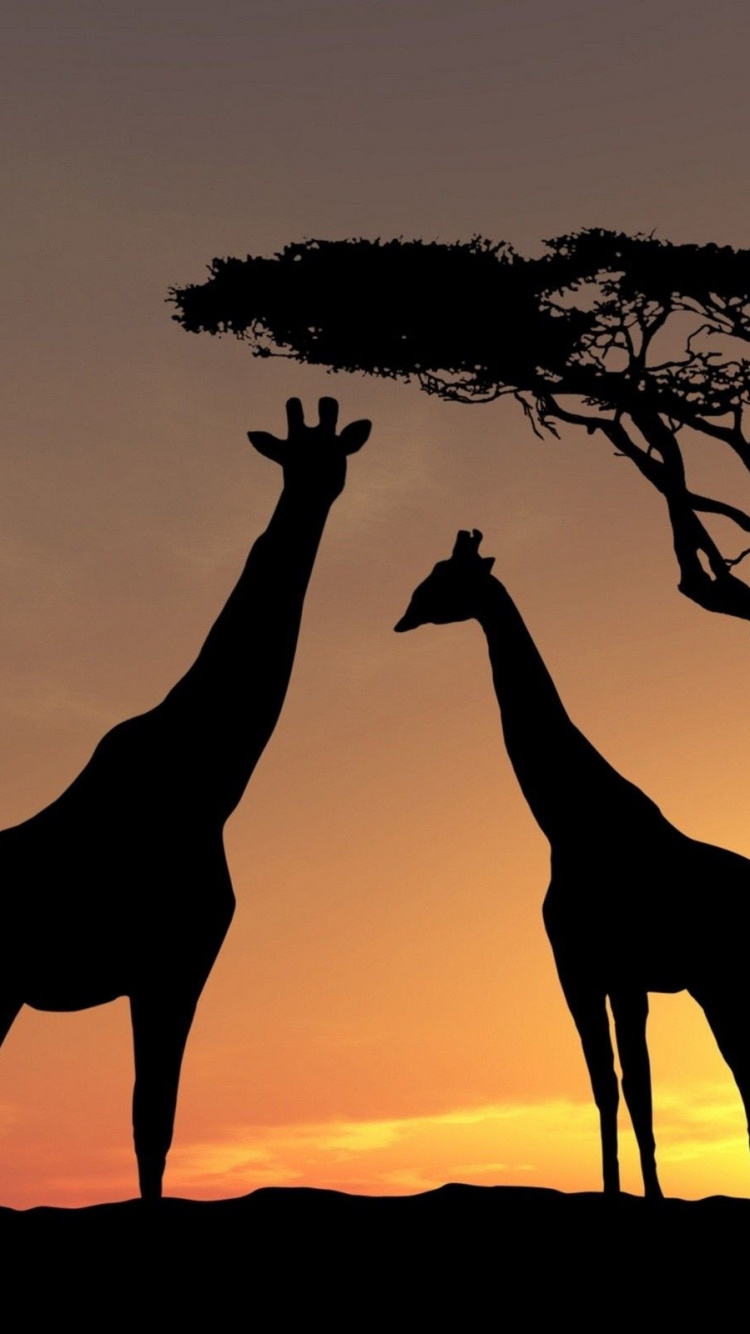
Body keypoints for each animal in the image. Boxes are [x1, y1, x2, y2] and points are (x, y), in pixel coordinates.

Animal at [0, 396, 371, 1201]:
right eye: (291, 459)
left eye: (337, 455)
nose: (319, 490)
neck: (206, 784)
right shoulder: (168, 964)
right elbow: (152, 1121)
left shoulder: (180, 964)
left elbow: (157, 1123)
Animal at [395, 527, 750, 1199]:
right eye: (428, 575)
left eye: (445, 578)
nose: (403, 616)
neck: (569, 822)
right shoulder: (578, 970)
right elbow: (604, 1084)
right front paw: (614, 1190)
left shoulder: (625, 972)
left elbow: (638, 1085)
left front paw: (653, 1195)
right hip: (714, 988)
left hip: (723, 983)